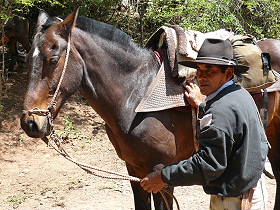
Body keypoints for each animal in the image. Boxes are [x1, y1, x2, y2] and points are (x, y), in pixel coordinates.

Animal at [20, 9, 280, 210]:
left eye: (54, 59)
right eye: (28, 58)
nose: (30, 123)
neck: (136, 95)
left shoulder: (162, 172)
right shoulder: (135, 169)